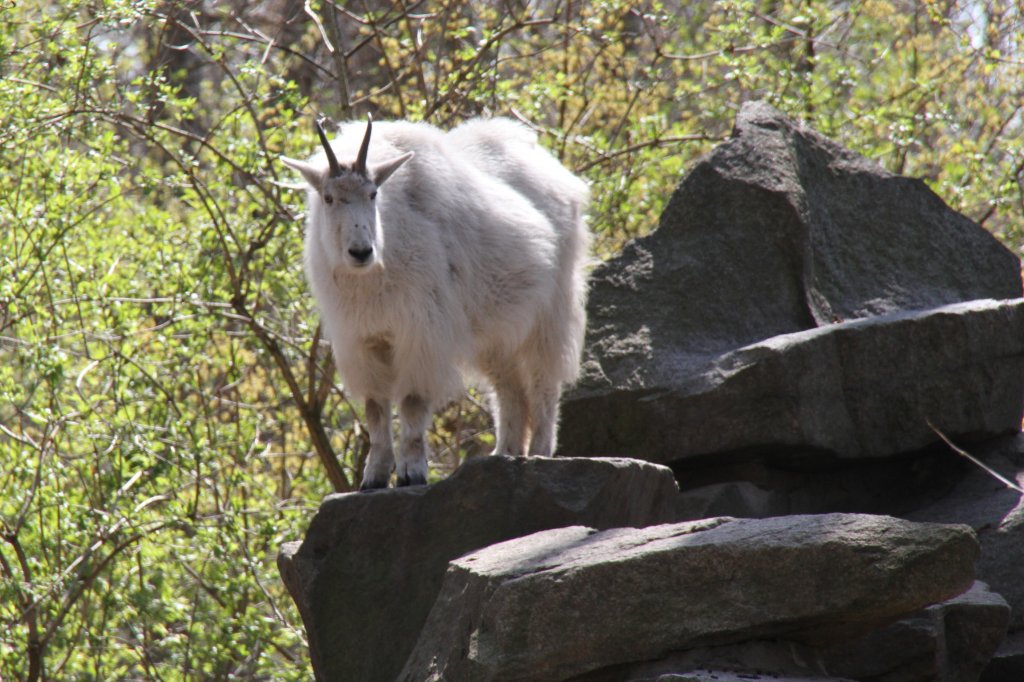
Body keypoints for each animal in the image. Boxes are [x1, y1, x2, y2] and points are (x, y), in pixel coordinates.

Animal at [282, 118, 593, 489]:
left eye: (373, 194)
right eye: (328, 198)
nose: (360, 252)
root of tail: (559, 174)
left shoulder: (421, 331)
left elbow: (413, 402)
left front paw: (411, 472)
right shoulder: (362, 339)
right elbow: (375, 408)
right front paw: (374, 476)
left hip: (551, 310)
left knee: (543, 379)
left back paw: (540, 452)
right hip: (496, 329)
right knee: (510, 389)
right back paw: (504, 452)